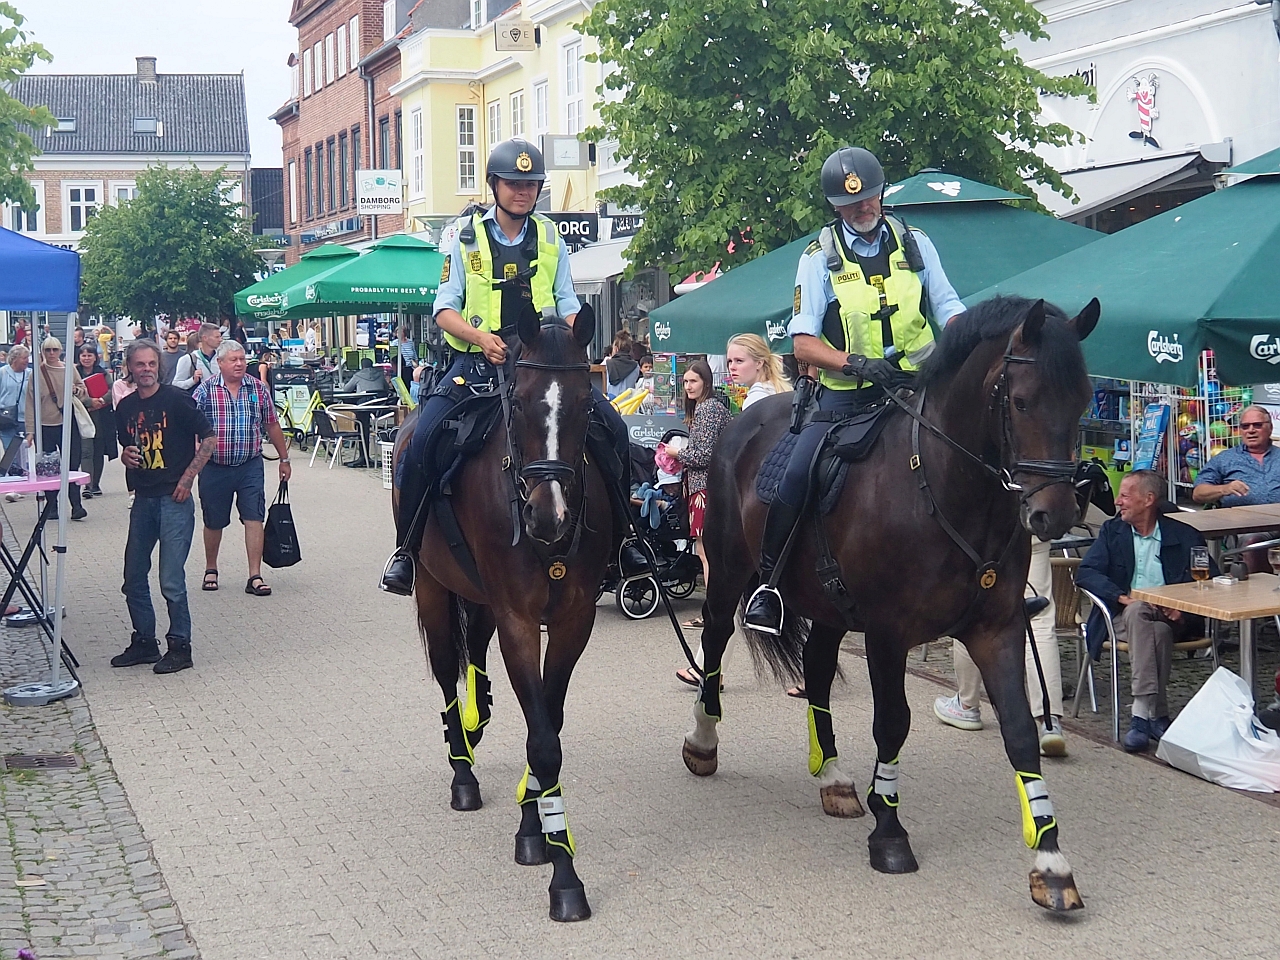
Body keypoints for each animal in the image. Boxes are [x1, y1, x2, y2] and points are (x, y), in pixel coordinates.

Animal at [389, 308, 609, 926]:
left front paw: (535, 830)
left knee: (476, 659)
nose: (548, 516)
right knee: (447, 672)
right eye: (523, 401)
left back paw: (477, 718)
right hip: (432, 588)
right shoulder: (518, 618)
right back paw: (462, 768)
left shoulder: (573, 621)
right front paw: (565, 878)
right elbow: (542, 739)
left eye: (586, 402)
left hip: (479, 597)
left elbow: (547, 725)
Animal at [691, 296, 1100, 911]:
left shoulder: (997, 630)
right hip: (728, 574)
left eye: (1081, 400)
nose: (1053, 515)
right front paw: (889, 834)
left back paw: (833, 775)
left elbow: (1020, 733)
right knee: (714, 641)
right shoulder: (888, 634)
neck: (945, 487)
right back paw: (703, 742)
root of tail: (741, 419)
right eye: (1022, 400)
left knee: (816, 668)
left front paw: (1050, 862)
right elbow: (892, 725)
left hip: (829, 604)